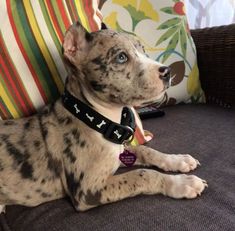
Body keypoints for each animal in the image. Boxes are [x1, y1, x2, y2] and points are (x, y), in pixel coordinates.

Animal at [0, 22, 206, 212]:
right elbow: (143, 174)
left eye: (142, 49)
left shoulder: (118, 155)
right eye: (121, 57)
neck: (95, 118)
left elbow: (146, 150)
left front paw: (178, 160)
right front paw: (181, 184)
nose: (167, 71)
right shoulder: (88, 190)